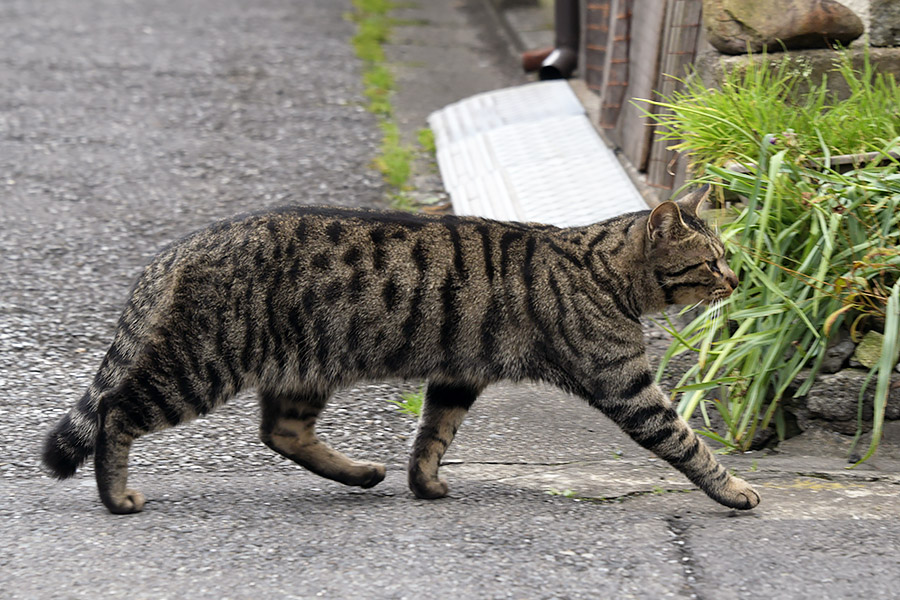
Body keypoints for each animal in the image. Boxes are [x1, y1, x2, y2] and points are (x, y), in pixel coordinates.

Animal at [44, 185, 760, 512]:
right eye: (712, 261)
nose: (737, 279)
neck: (600, 268)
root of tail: (185, 244)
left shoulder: (459, 372)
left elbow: (432, 435)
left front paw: (424, 483)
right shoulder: (626, 385)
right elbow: (687, 442)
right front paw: (735, 490)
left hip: (303, 367)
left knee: (280, 431)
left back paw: (362, 473)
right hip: (203, 363)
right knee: (116, 411)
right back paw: (116, 497)